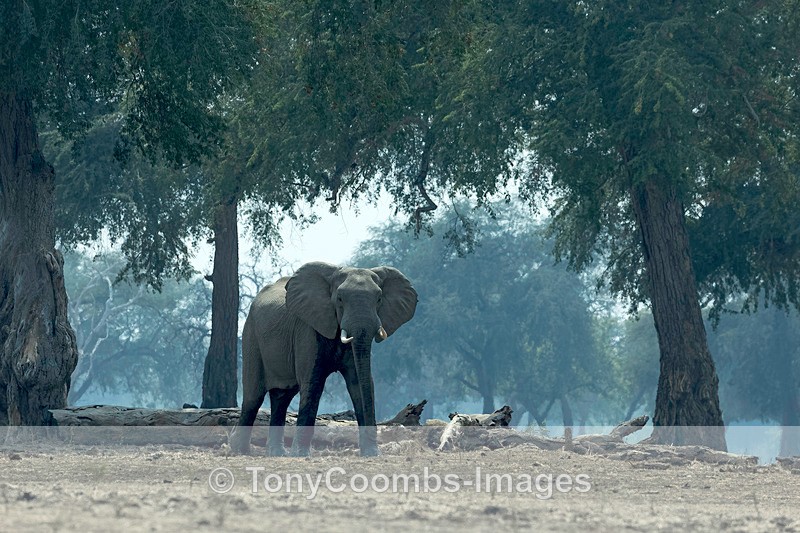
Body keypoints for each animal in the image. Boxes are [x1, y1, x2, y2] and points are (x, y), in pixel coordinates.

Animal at [229, 261, 417, 457]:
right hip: (251, 336)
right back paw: (239, 450)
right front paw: (300, 454)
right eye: (340, 299)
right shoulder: (308, 330)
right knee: (254, 397)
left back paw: (276, 453)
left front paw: (371, 453)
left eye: (379, 298)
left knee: (282, 396)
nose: (374, 449)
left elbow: (358, 382)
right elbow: (313, 382)